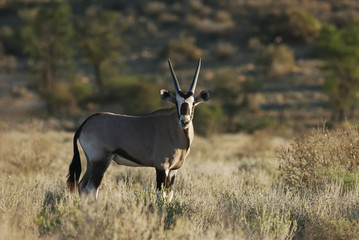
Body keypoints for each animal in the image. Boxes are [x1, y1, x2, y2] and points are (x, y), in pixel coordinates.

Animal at [67, 59, 211, 200]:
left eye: (193, 103)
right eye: (176, 103)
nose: (184, 121)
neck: (175, 132)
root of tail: (85, 123)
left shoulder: (174, 170)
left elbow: (169, 195)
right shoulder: (161, 167)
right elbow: (160, 195)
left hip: (91, 162)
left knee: (82, 185)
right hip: (101, 160)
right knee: (91, 188)